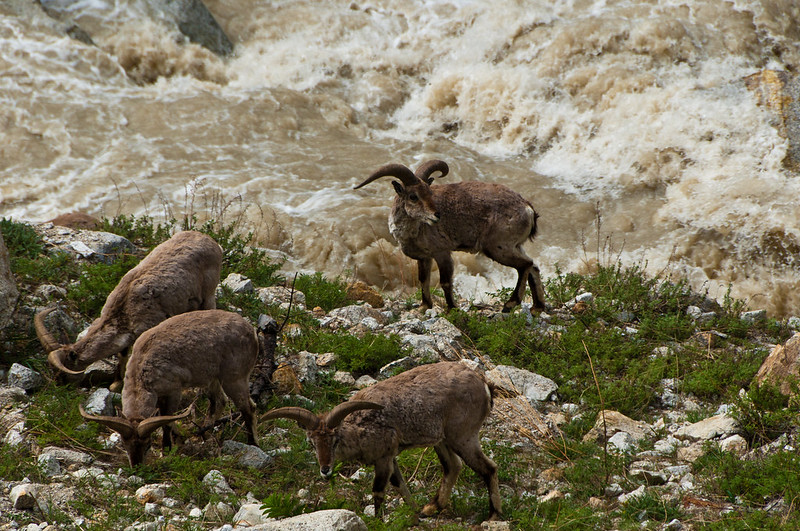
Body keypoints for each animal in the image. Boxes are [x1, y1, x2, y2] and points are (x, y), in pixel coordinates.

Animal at [35, 230, 222, 387]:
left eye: (62, 371)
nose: (59, 385)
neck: (124, 310)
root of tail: (212, 243)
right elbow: (122, 354)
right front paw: (116, 382)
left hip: (208, 295)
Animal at [80, 309, 263, 466]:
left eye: (147, 443)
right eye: (125, 444)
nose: (137, 466)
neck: (143, 366)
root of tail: (251, 332)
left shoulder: (174, 390)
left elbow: (166, 420)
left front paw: (166, 450)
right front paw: (178, 439)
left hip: (234, 378)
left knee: (249, 407)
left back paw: (252, 444)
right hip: (212, 379)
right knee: (219, 401)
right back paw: (205, 435)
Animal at [263, 361, 502, 520]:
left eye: (334, 440)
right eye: (312, 443)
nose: (325, 469)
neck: (360, 427)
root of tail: (484, 385)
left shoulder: (384, 457)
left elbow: (378, 490)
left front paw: (378, 521)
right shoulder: (391, 456)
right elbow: (399, 483)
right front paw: (414, 512)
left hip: (463, 435)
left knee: (488, 468)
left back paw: (493, 515)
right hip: (442, 439)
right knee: (453, 466)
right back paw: (431, 508)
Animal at [354, 159, 546, 312]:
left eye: (430, 193)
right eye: (413, 196)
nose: (436, 215)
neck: (415, 230)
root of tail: (528, 208)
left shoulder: (442, 252)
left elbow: (445, 282)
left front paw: (452, 308)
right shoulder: (424, 257)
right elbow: (423, 280)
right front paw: (424, 306)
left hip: (498, 247)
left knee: (525, 265)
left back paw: (510, 304)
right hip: (514, 245)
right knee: (533, 266)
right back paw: (537, 307)